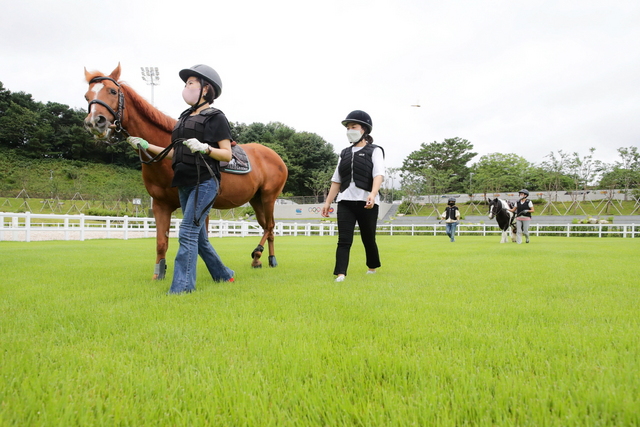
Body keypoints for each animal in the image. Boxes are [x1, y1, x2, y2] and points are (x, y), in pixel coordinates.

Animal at [84, 62, 288, 278]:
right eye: (87, 96)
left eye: (112, 91)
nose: (94, 122)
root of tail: (276, 157)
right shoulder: (161, 205)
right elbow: (161, 243)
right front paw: (159, 273)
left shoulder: (199, 205)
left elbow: (198, 241)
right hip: (256, 199)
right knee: (267, 227)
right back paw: (261, 259)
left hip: (268, 197)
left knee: (270, 226)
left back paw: (264, 256)